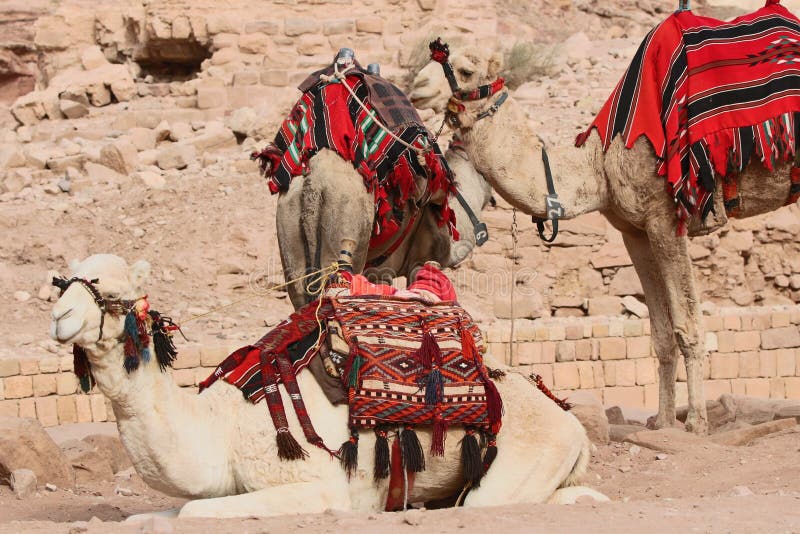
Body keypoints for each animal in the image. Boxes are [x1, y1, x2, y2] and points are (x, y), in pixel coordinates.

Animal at [48, 253, 606, 518]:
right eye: (62, 282)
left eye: (109, 287)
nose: (59, 317)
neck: (221, 427)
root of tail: (570, 420)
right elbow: (153, 516)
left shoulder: (317, 485)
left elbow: (189, 510)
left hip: (527, 454)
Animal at [409, 46, 797, 435]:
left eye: (466, 70)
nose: (417, 85)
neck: (599, 165)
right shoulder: (635, 230)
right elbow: (661, 334)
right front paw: (662, 422)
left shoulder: (666, 216)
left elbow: (687, 324)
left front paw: (696, 424)